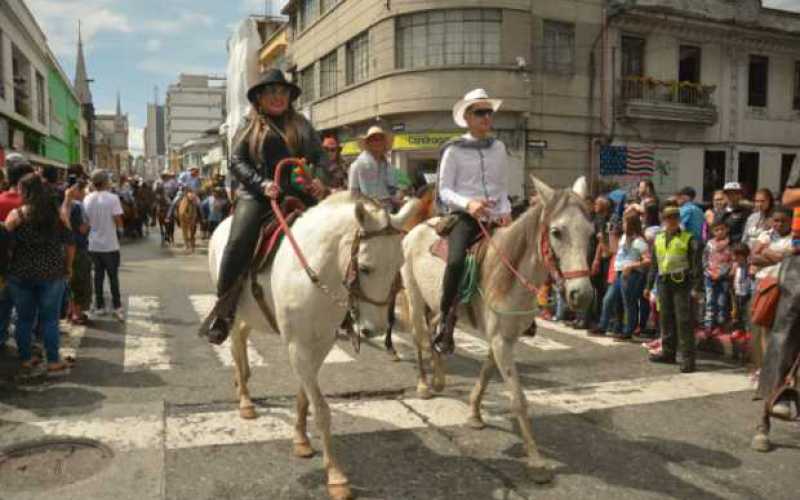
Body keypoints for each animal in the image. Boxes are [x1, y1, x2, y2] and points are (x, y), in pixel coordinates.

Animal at [209, 192, 422, 500]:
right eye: (365, 268)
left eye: (399, 265)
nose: (374, 329)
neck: (316, 271)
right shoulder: (297, 347)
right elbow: (321, 409)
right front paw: (336, 475)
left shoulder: (321, 344)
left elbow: (304, 397)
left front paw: (301, 439)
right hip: (232, 309)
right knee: (236, 344)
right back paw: (245, 398)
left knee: (243, 337)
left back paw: (242, 381)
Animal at [400, 177, 592, 484]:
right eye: (557, 232)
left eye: (590, 232)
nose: (581, 295)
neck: (510, 272)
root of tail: (418, 227)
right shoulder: (501, 340)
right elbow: (518, 399)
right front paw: (536, 461)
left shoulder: (504, 337)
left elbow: (487, 372)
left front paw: (474, 414)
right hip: (415, 296)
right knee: (420, 338)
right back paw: (424, 385)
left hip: (438, 303)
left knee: (436, 330)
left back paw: (440, 377)